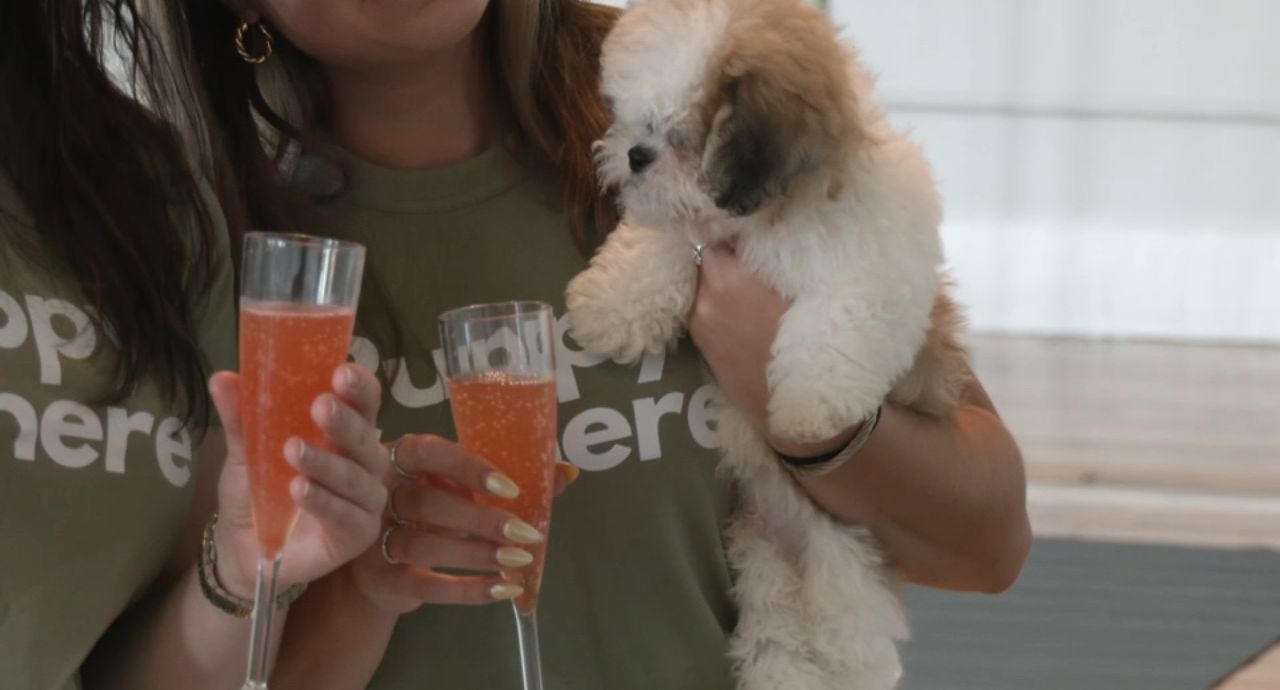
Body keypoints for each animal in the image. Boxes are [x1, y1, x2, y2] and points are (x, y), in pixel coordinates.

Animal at [565, 2, 962, 686]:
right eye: (635, 120)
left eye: (681, 136)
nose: (636, 155)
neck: (773, 218)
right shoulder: (693, 230)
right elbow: (658, 246)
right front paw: (609, 308)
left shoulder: (872, 270)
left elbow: (836, 326)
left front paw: (808, 408)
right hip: (759, 552)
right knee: (776, 629)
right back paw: (781, 670)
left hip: (841, 559)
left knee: (845, 624)